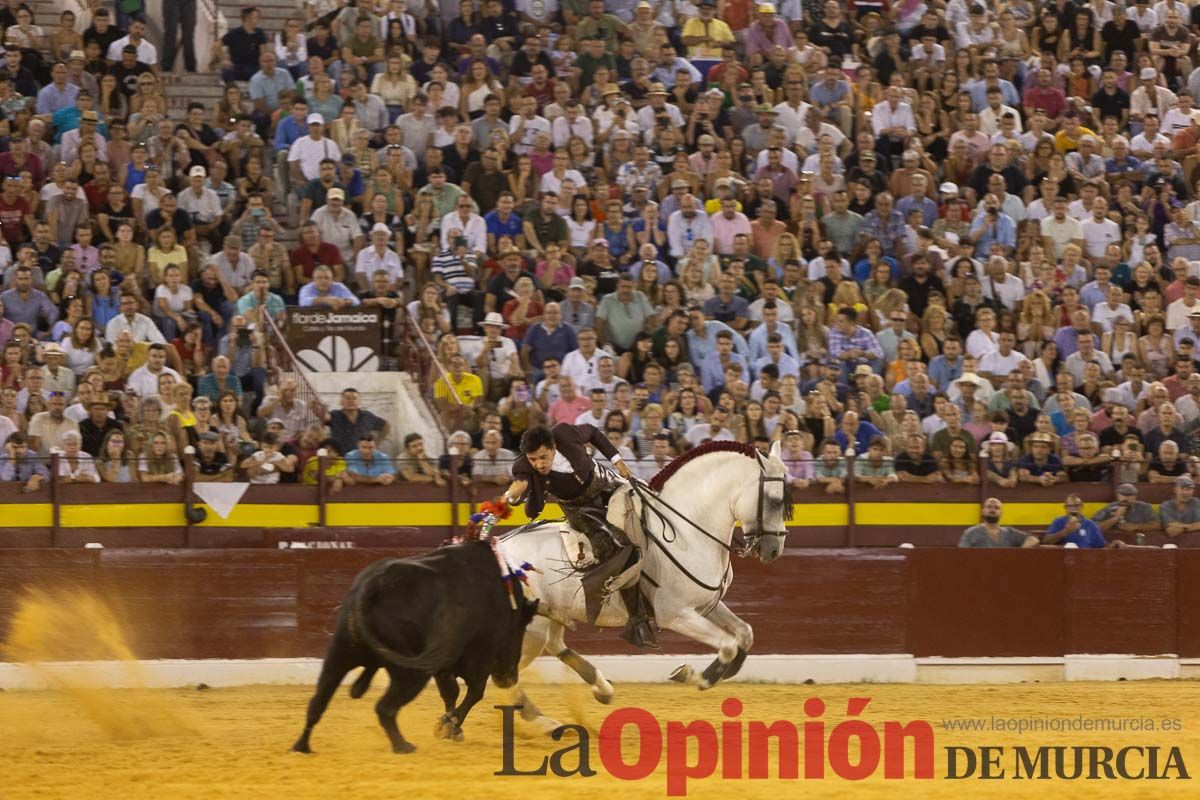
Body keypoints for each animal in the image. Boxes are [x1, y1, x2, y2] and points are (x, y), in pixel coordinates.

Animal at [290, 542, 540, 753]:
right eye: (521, 629)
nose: (509, 677)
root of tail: (371, 587)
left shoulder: (444, 665)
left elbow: (451, 692)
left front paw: (448, 726)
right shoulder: (480, 656)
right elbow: (474, 692)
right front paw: (449, 728)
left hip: (339, 656)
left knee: (317, 703)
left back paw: (302, 746)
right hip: (412, 671)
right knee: (385, 708)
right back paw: (403, 746)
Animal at [492, 441, 792, 729]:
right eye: (775, 500)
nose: (774, 550)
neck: (686, 531)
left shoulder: (707, 606)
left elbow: (745, 633)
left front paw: (717, 672)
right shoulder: (676, 615)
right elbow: (728, 645)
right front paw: (693, 676)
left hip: (552, 618)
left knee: (555, 646)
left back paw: (602, 689)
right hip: (531, 633)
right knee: (506, 679)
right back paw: (549, 724)